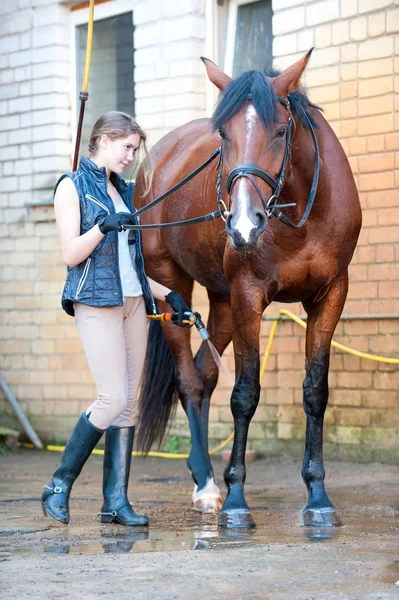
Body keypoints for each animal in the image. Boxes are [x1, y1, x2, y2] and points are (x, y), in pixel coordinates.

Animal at [134, 51, 362, 528]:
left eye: (281, 130)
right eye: (223, 134)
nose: (242, 226)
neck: (301, 217)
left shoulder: (331, 294)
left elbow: (315, 392)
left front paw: (318, 497)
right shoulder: (248, 296)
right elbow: (245, 394)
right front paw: (237, 500)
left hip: (221, 302)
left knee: (204, 375)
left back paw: (202, 477)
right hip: (173, 290)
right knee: (189, 380)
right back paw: (207, 486)